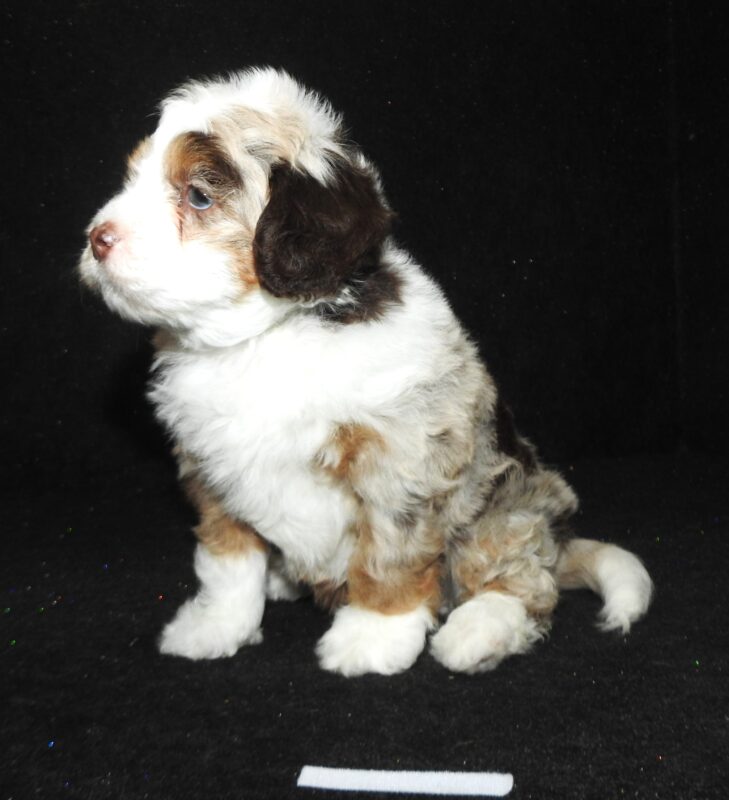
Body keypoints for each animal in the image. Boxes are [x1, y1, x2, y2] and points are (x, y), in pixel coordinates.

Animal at [79, 68, 653, 676]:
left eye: (199, 195)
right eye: (133, 177)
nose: (98, 238)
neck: (263, 338)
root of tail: (558, 541)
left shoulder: (400, 465)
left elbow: (388, 558)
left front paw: (374, 637)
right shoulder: (211, 469)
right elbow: (227, 560)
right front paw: (217, 626)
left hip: (506, 507)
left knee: (518, 580)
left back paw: (477, 632)